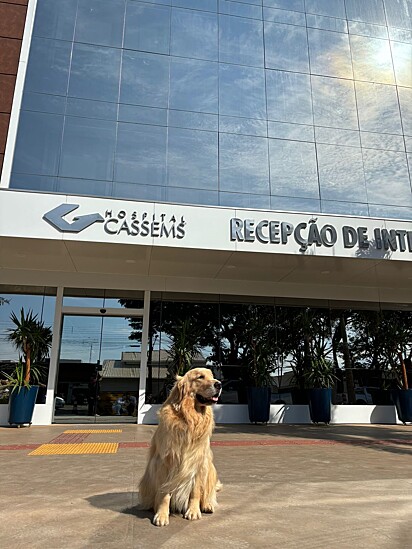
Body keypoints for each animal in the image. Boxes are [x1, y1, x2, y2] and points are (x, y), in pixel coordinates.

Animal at [138, 366, 222, 524]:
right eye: (200, 377)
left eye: (212, 375)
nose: (219, 384)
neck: (190, 418)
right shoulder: (165, 462)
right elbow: (164, 493)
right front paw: (162, 514)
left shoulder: (198, 462)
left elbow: (195, 491)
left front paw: (193, 511)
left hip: (210, 468)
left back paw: (207, 504)